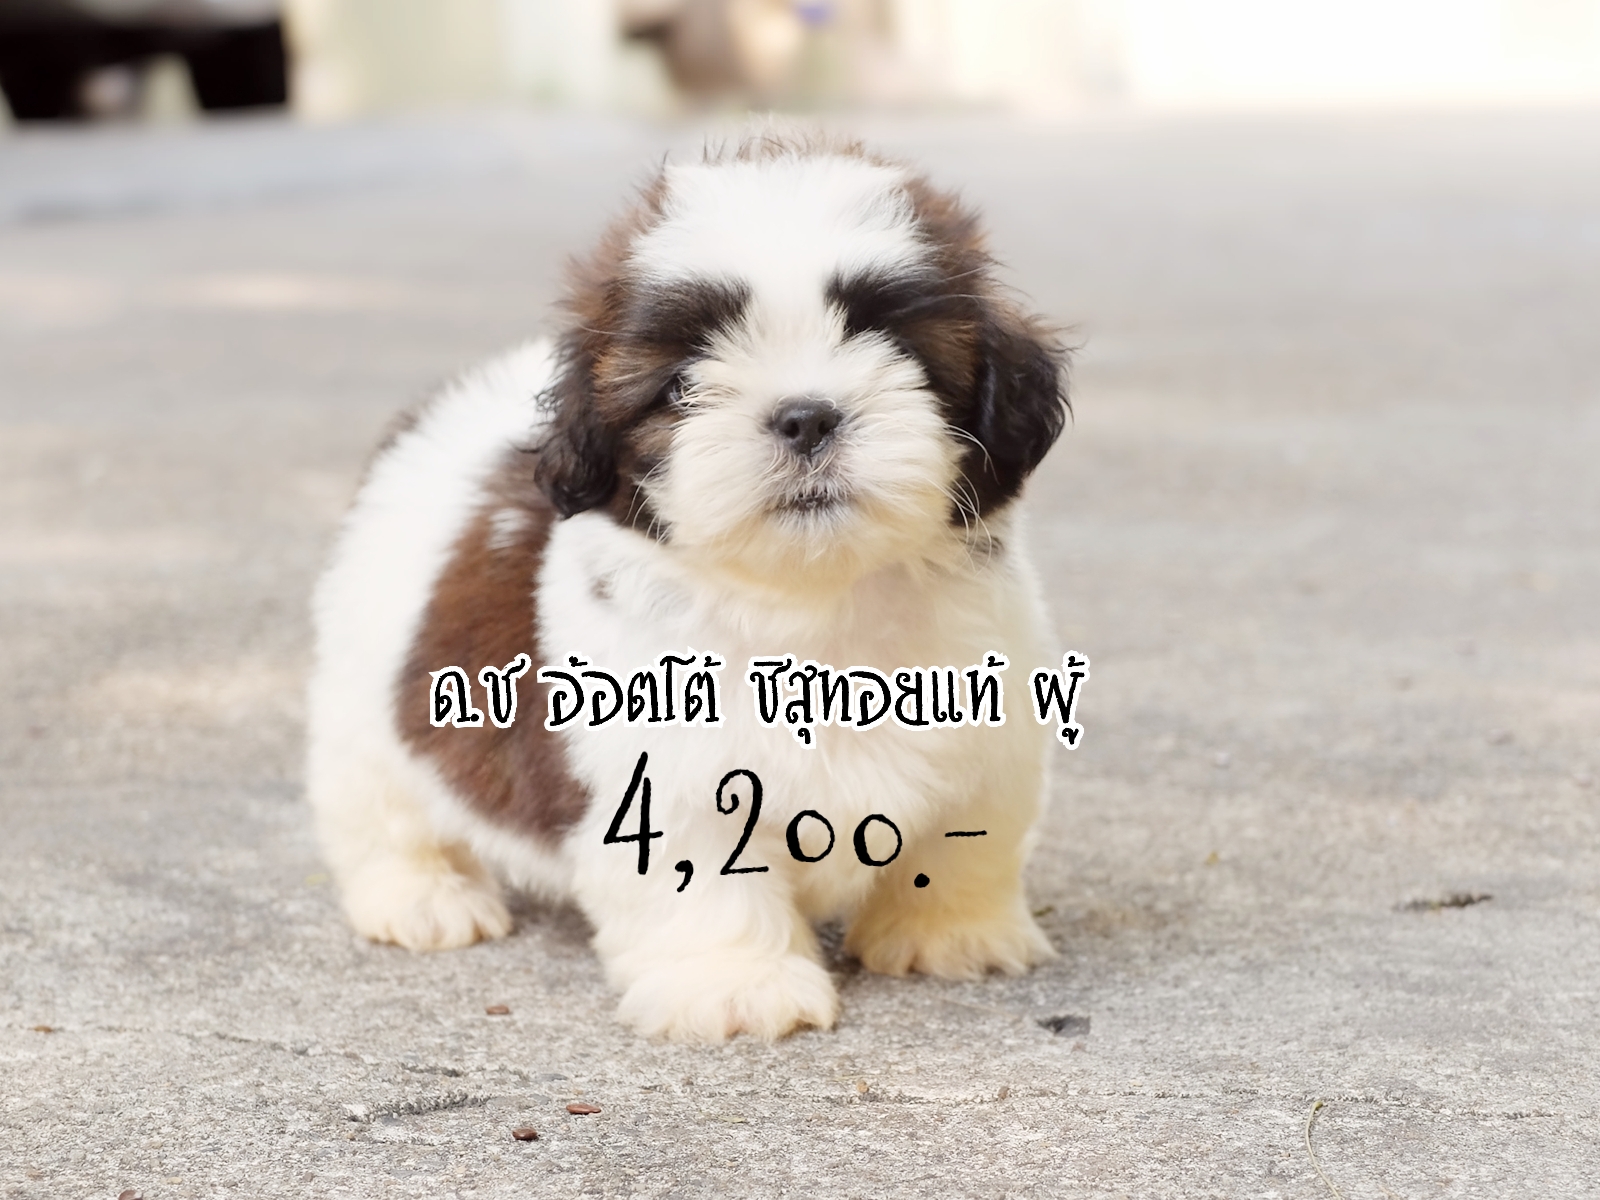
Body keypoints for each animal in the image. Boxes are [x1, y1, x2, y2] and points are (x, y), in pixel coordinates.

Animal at [306, 132, 1069, 1042]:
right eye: (682, 385)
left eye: (899, 350)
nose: (807, 415)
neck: (813, 609)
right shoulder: (660, 775)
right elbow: (700, 880)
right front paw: (736, 985)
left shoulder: (994, 735)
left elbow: (967, 842)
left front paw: (952, 935)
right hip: (367, 696)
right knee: (378, 805)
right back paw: (421, 896)